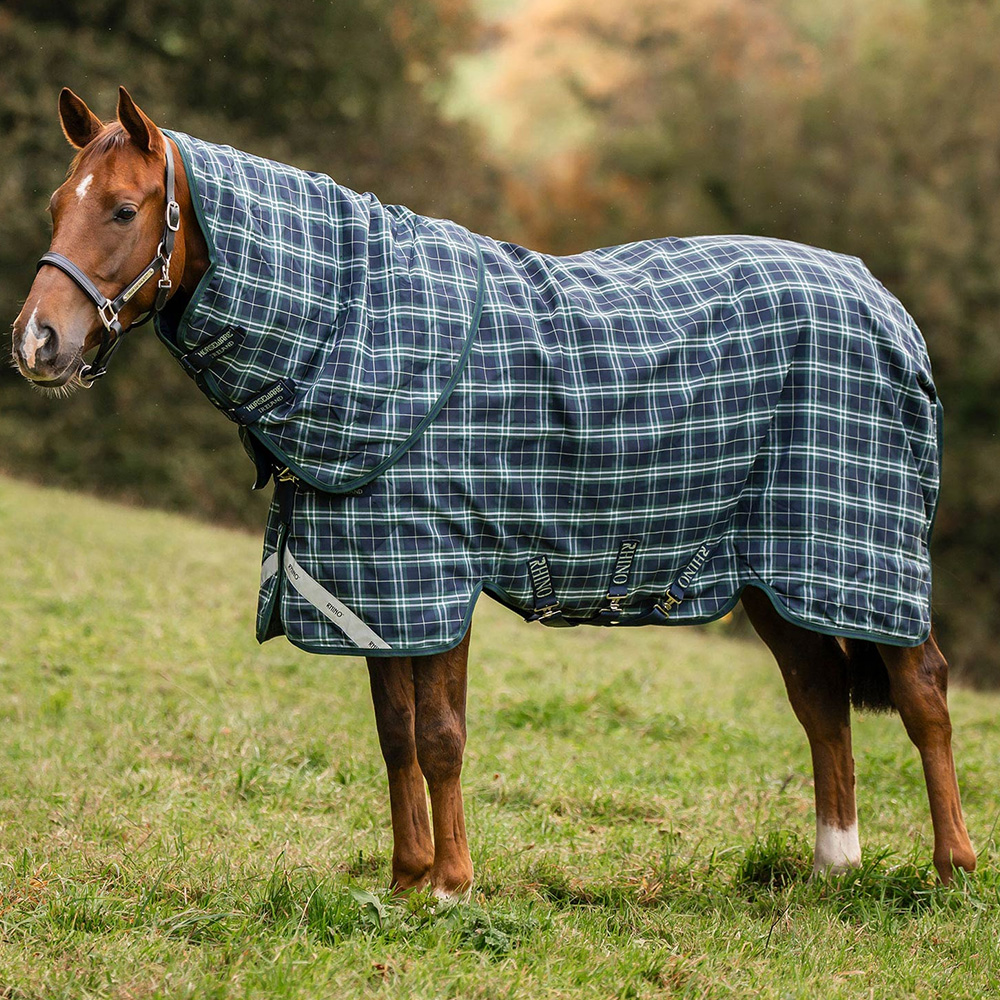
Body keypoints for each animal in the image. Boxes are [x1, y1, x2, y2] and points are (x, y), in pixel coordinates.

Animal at [10, 87, 976, 899]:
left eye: (123, 209)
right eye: (58, 204)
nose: (36, 343)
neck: (356, 329)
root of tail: (886, 304)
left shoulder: (437, 570)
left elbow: (441, 734)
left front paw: (451, 886)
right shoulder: (375, 584)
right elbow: (394, 733)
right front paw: (404, 882)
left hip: (863, 550)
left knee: (922, 689)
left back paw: (951, 870)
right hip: (777, 569)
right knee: (820, 698)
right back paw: (830, 869)